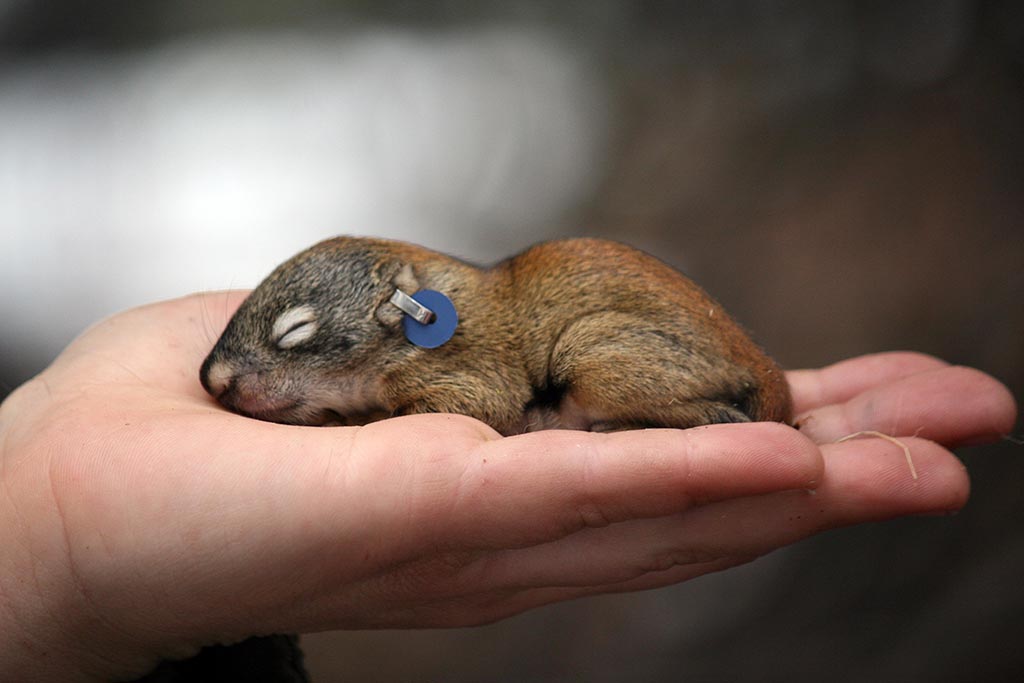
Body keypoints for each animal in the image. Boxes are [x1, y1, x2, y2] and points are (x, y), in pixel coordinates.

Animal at [200, 237, 792, 433]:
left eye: (295, 330)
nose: (212, 379)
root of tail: (761, 364)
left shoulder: (468, 376)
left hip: (596, 354)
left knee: (723, 417)